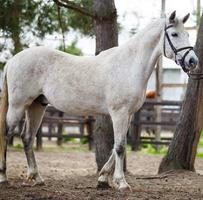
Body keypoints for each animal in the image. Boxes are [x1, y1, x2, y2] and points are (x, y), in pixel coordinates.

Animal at [0, 11, 198, 191]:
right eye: (175, 34)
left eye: (188, 34)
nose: (193, 61)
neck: (129, 65)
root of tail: (12, 60)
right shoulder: (119, 113)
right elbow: (120, 147)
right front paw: (121, 183)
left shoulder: (128, 115)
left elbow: (117, 146)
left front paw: (103, 179)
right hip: (18, 106)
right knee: (6, 133)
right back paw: (4, 177)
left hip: (37, 105)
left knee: (27, 137)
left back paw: (37, 177)